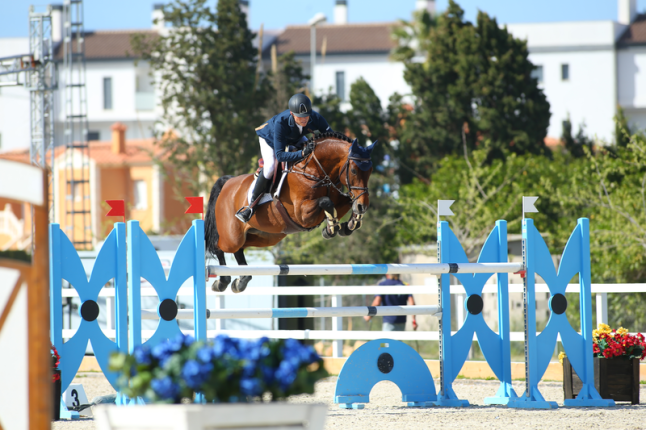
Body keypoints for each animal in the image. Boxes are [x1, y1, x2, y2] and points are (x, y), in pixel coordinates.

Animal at [205, 131, 378, 292]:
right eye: (354, 171)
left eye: (370, 171)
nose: (364, 205)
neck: (314, 171)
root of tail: (227, 182)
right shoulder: (302, 214)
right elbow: (326, 202)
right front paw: (332, 228)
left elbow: (346, 202)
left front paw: (348, 225)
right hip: (232, 236)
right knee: (218, 246)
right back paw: (223, 281)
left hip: (263, 236)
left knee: (239, 250)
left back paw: (241, 281)